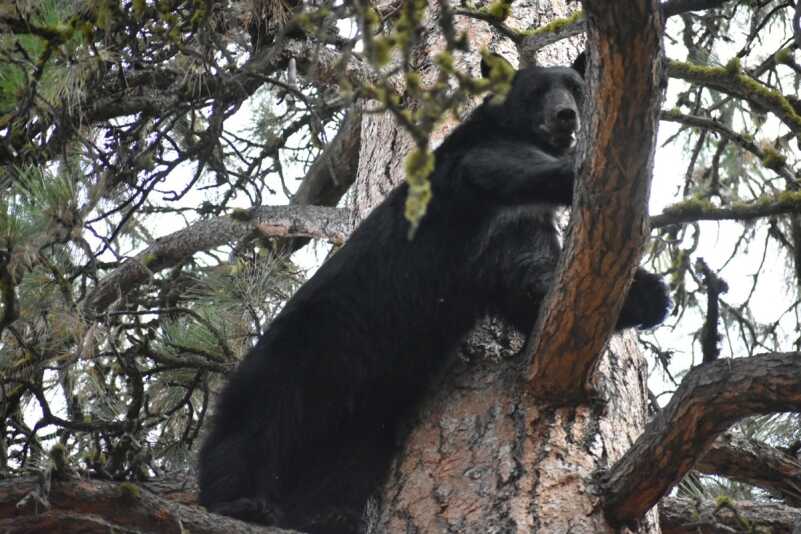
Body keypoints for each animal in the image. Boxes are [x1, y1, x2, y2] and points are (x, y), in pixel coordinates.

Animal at [197, 54, 670, 534]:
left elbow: (531, 285)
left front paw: (648, 296)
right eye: (537, 90)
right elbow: (513, 181)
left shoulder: (512, 231)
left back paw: (322, 515)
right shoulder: (477, 169)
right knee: (251, 429)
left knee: (343, 466)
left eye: (576, 87)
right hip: (298, 358)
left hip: (365, 415)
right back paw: (239, 503)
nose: (565, 116)